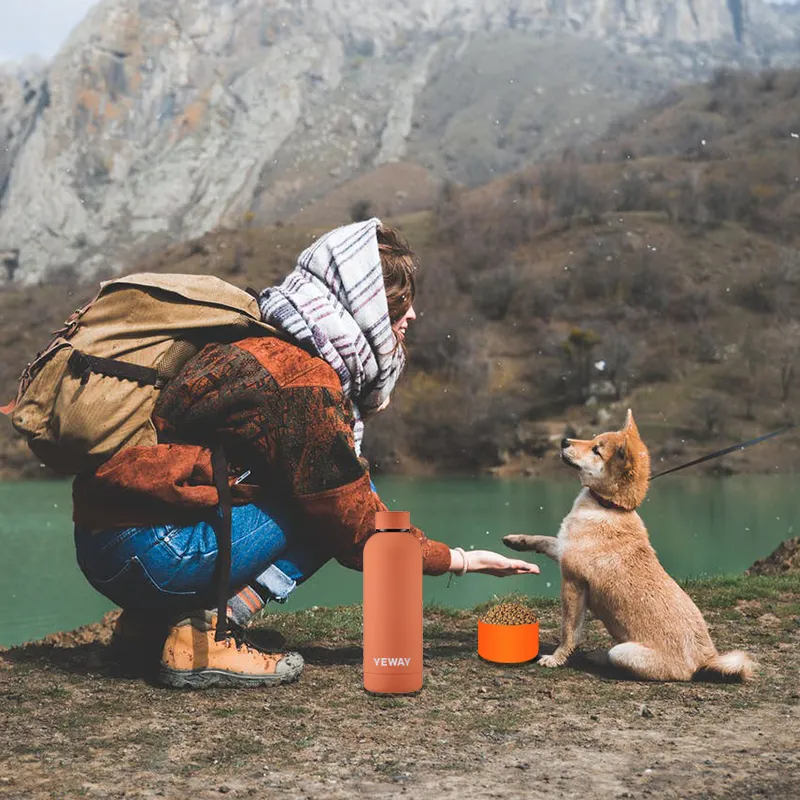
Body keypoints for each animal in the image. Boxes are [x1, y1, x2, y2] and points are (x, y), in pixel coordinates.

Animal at [504, 412, 752, 680]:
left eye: (596, 450)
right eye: (593, 440)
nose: (564, 440)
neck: (610, 506)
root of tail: (705, 660)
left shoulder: (573, 582)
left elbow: (569, 631)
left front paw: (556, 658)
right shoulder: (563, 548)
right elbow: (543, 539)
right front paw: (516, 540)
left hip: (624, 652)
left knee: (617, 658)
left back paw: (600, 658)